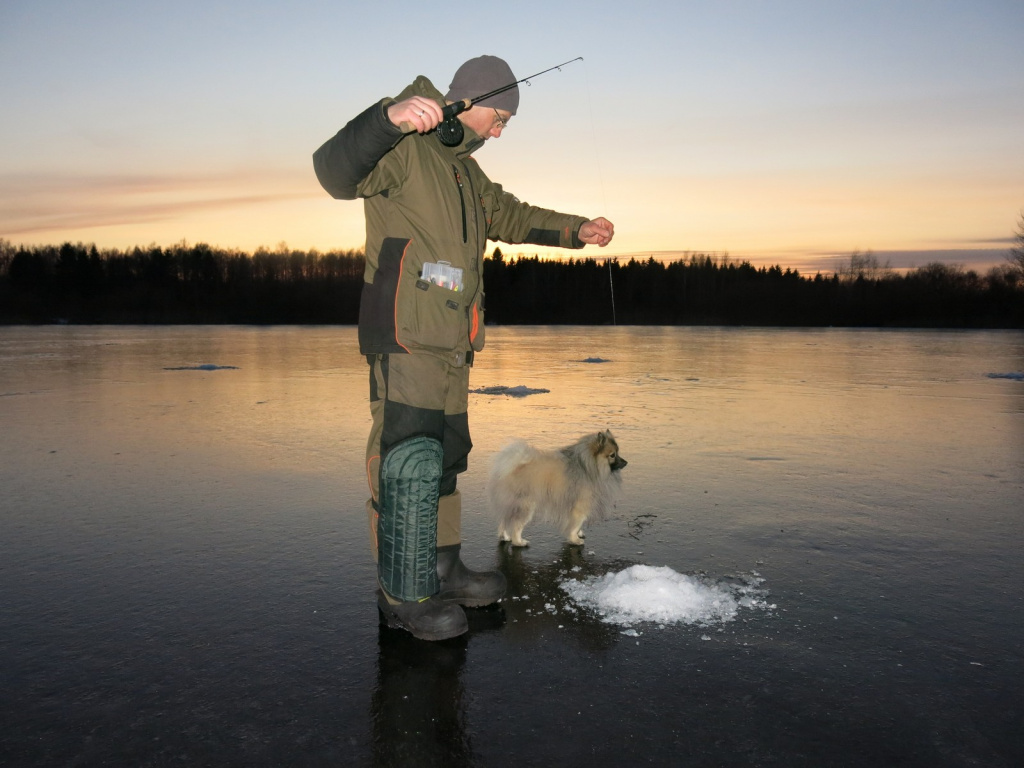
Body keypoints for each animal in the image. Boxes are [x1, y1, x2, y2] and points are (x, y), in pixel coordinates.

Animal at [491, 434, 626, 548]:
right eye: (612, 455)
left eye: (618, 452)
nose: (625, 462)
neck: (588, 467)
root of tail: (512, 466)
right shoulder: (580, 506)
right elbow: (575, 525)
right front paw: (575, 539)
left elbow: (576, 525)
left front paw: (579, 533)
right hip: (525, 506)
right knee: (516, 525)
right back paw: (518, 542)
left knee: (504, 520)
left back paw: (505, 536)